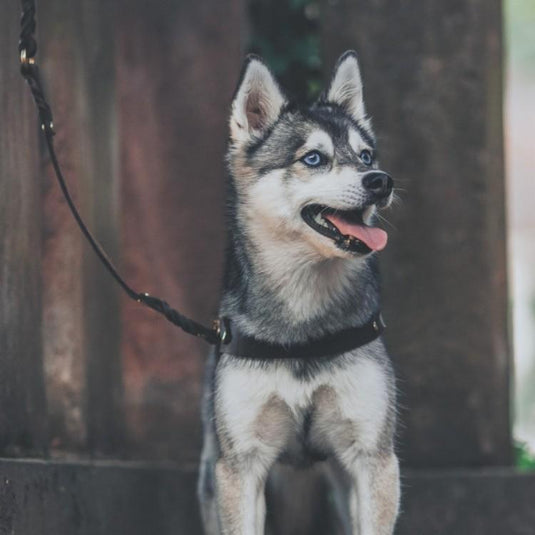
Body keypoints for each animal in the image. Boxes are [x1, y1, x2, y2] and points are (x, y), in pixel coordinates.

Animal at [199, 51, 400, 535]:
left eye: (366, 155)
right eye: (313, 158)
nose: (380, 180)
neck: (303, 327)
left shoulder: (373, 459)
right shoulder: (241, 464)